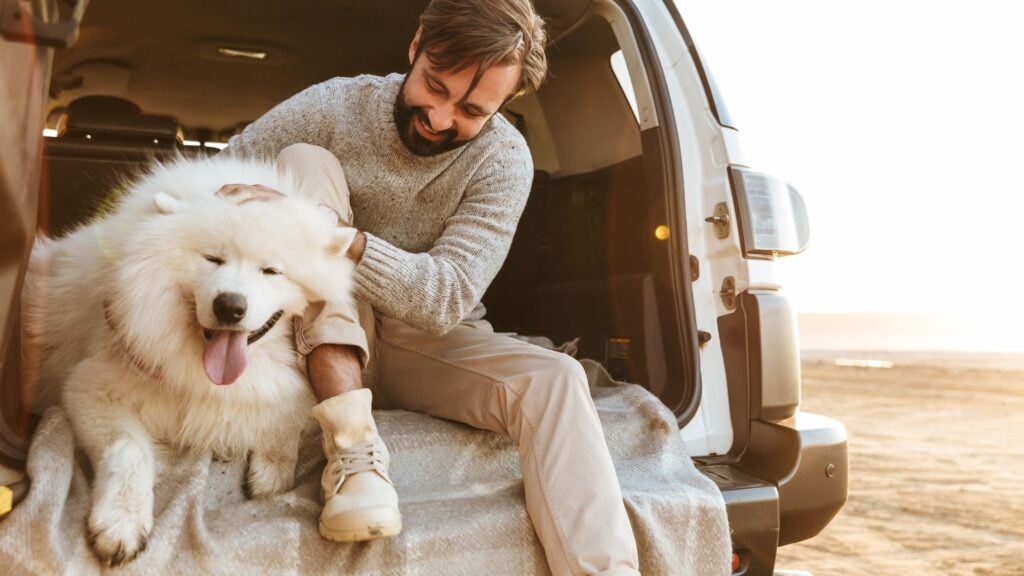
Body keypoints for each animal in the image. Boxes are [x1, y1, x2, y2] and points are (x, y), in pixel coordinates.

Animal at [22, 154, 358, 561]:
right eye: (213, 259)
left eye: (271, 270)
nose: (229, 306)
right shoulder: (91, 387)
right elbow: (129, 449)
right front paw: (120, 522)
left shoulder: (283, 387)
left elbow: (287, 413)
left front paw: (272, 468)